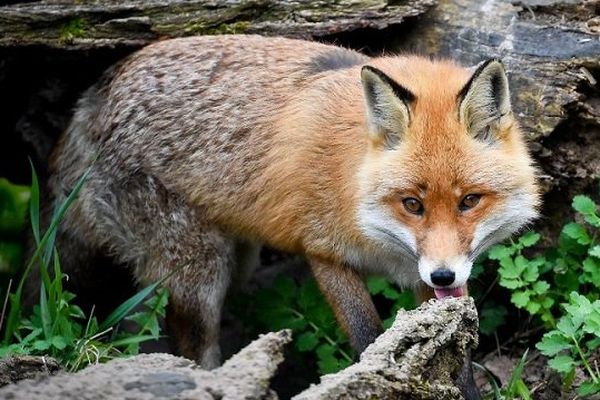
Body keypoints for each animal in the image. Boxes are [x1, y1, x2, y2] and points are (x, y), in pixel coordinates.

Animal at [48, 33, 540, 390]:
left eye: (469, 201)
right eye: (412, 204)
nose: (442, 275)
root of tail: (99, 89)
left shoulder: (433, 276)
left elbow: (456, 350)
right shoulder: (323, 251)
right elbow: (368, 337)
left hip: (235, 260)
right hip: (201, 271)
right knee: (188, 342)